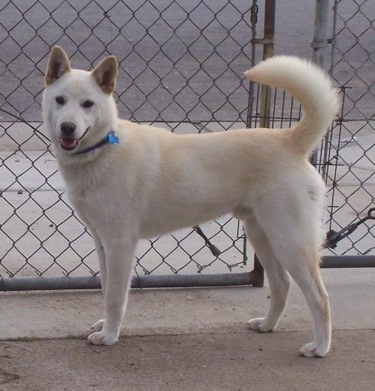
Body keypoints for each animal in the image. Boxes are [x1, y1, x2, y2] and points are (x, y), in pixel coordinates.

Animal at [42, 46, 340, 358]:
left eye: (88, 104)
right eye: (60, 100)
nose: (68, 127)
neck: (102, 149)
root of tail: (290, 139)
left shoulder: (120, 244)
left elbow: (114, 297)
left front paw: (109, 335)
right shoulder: (102, 243)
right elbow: (105, 289)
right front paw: (105, 326)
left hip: (290, 242)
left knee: (319, 297)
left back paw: (320, 347)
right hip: (262, 235)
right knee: (281, 285)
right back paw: (267, 325)